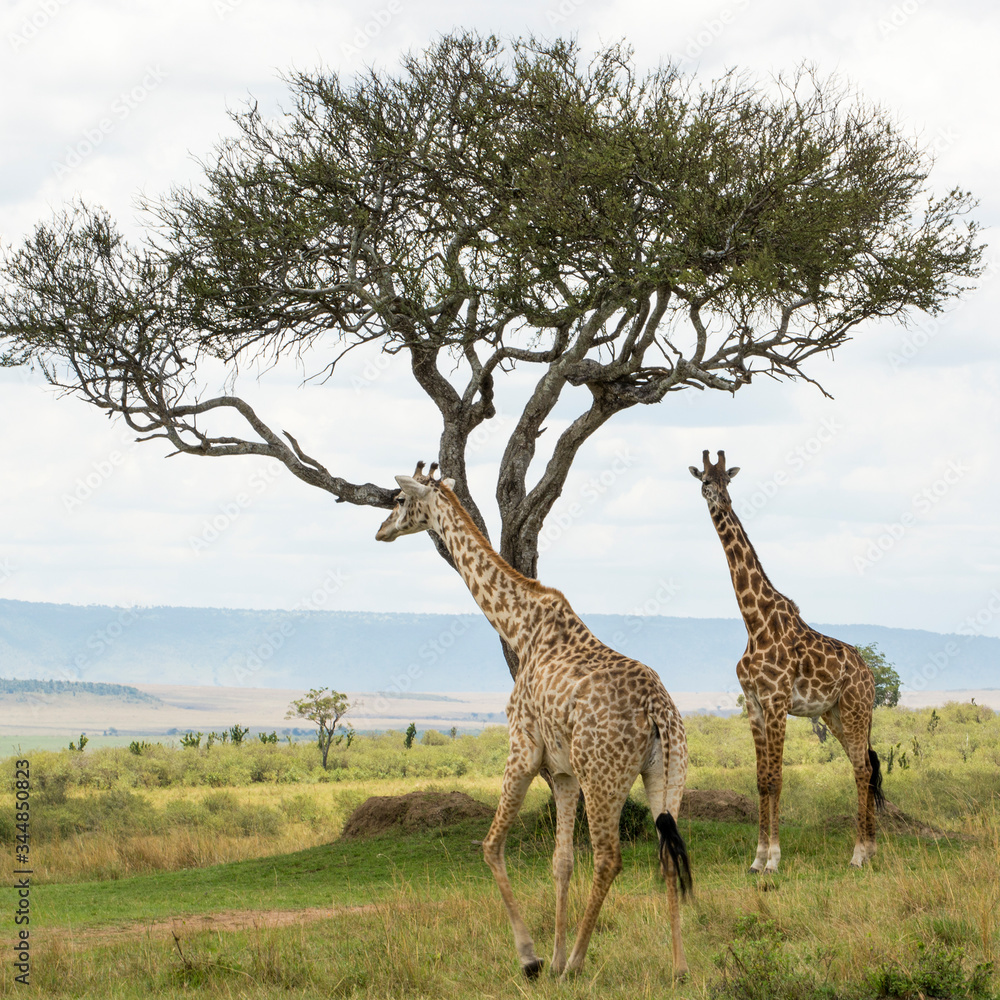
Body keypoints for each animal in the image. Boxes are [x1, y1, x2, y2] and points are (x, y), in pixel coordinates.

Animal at [376, 462, 692, 980]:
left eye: (400, 500)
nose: (380, 531)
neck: (519, 628)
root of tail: (657, 709)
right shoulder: (563, 773)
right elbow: (561, 861)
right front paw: (554, 954)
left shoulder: (522, 749)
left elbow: (490, 846)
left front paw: (534, 958)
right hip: (666, 772)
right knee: (667, 852)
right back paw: (678, 967)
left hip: (604, 776)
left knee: (609, 858)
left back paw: (579, 963)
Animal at [689, 450, 884, 872]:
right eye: (706, 481)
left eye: (728, 481)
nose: (722, 502)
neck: (754, 621)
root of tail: (870, 674)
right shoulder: (754, 704)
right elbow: (761, 780)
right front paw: (757, 858)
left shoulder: (777, 701)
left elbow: (777, 779)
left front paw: (774, 860)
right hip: (833, 714)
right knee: (862, 766)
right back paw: (870, 849)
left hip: (856, 709)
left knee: (863, 769)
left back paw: (858, 854)